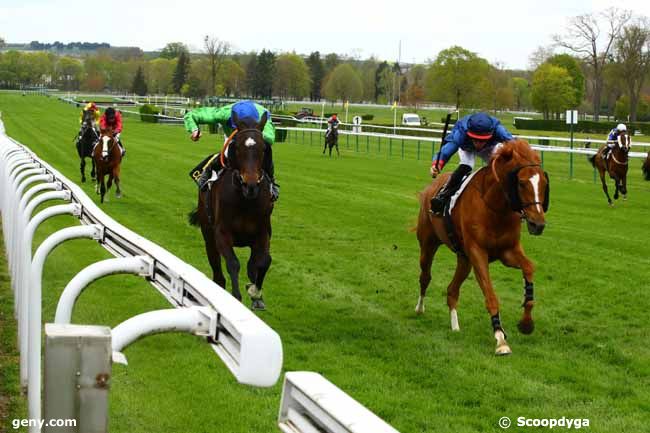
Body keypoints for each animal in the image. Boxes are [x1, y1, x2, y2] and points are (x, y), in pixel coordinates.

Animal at [189, 109, 272, 308]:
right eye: (238, 148)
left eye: (263, 149)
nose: (251, 185)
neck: (245, 201)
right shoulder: (222, 233)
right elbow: (233, 263)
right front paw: (236, 297)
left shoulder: (262, 233)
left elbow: (264, 261)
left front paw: (255, 292)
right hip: (208, 235)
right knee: (218, 273)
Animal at [416, 140, 548, 356]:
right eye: (521, 183)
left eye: (544, 184)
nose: (538, 224)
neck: (495, 207)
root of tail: (431, 187)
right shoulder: (478, 253)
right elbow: (490, 295)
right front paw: (500, 338)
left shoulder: (508, 251)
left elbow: (529, 268)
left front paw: (526, 323)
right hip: (428, 244)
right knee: (425, 277)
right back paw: (420, 308)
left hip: (464, 259)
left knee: (452, 290)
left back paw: (455, 326)